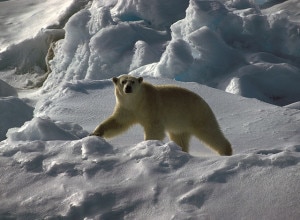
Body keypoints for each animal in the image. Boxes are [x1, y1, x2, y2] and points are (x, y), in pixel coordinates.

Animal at [91, 75, 232, 156]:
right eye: (123, 81)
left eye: (133, 81)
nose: (128, 88)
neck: (137, 101)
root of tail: (204, 102)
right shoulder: (126, 109)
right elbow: (117, 122)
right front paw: (95, 134)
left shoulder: (151, 107)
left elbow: (154, 128)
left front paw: (147, 144)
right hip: (180, 124)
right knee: (180, 138)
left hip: (196, 114)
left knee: (210, 133)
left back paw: (226, 151)